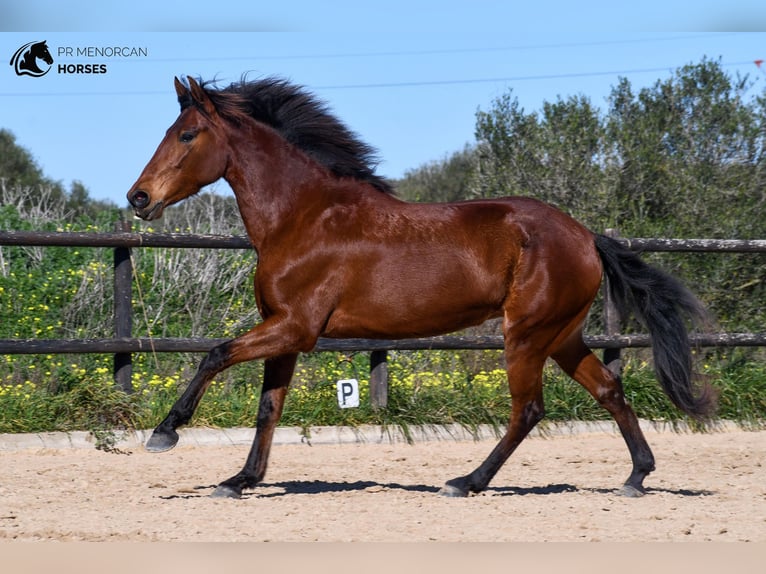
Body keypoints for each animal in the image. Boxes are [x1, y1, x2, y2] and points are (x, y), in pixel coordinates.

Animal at [127, 76, 720, 500]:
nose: (138, 197)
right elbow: (267, 407)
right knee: (609, 391)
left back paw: (466, 482)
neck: (304, 217)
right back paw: (637, 477)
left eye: (186, 134)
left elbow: (215, 354)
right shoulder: (285, 331)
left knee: (528, 409)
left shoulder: (295, 328)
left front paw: (166, 432)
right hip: (561, 335)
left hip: (527, 335)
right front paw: (239, 480)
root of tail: (585, 236)